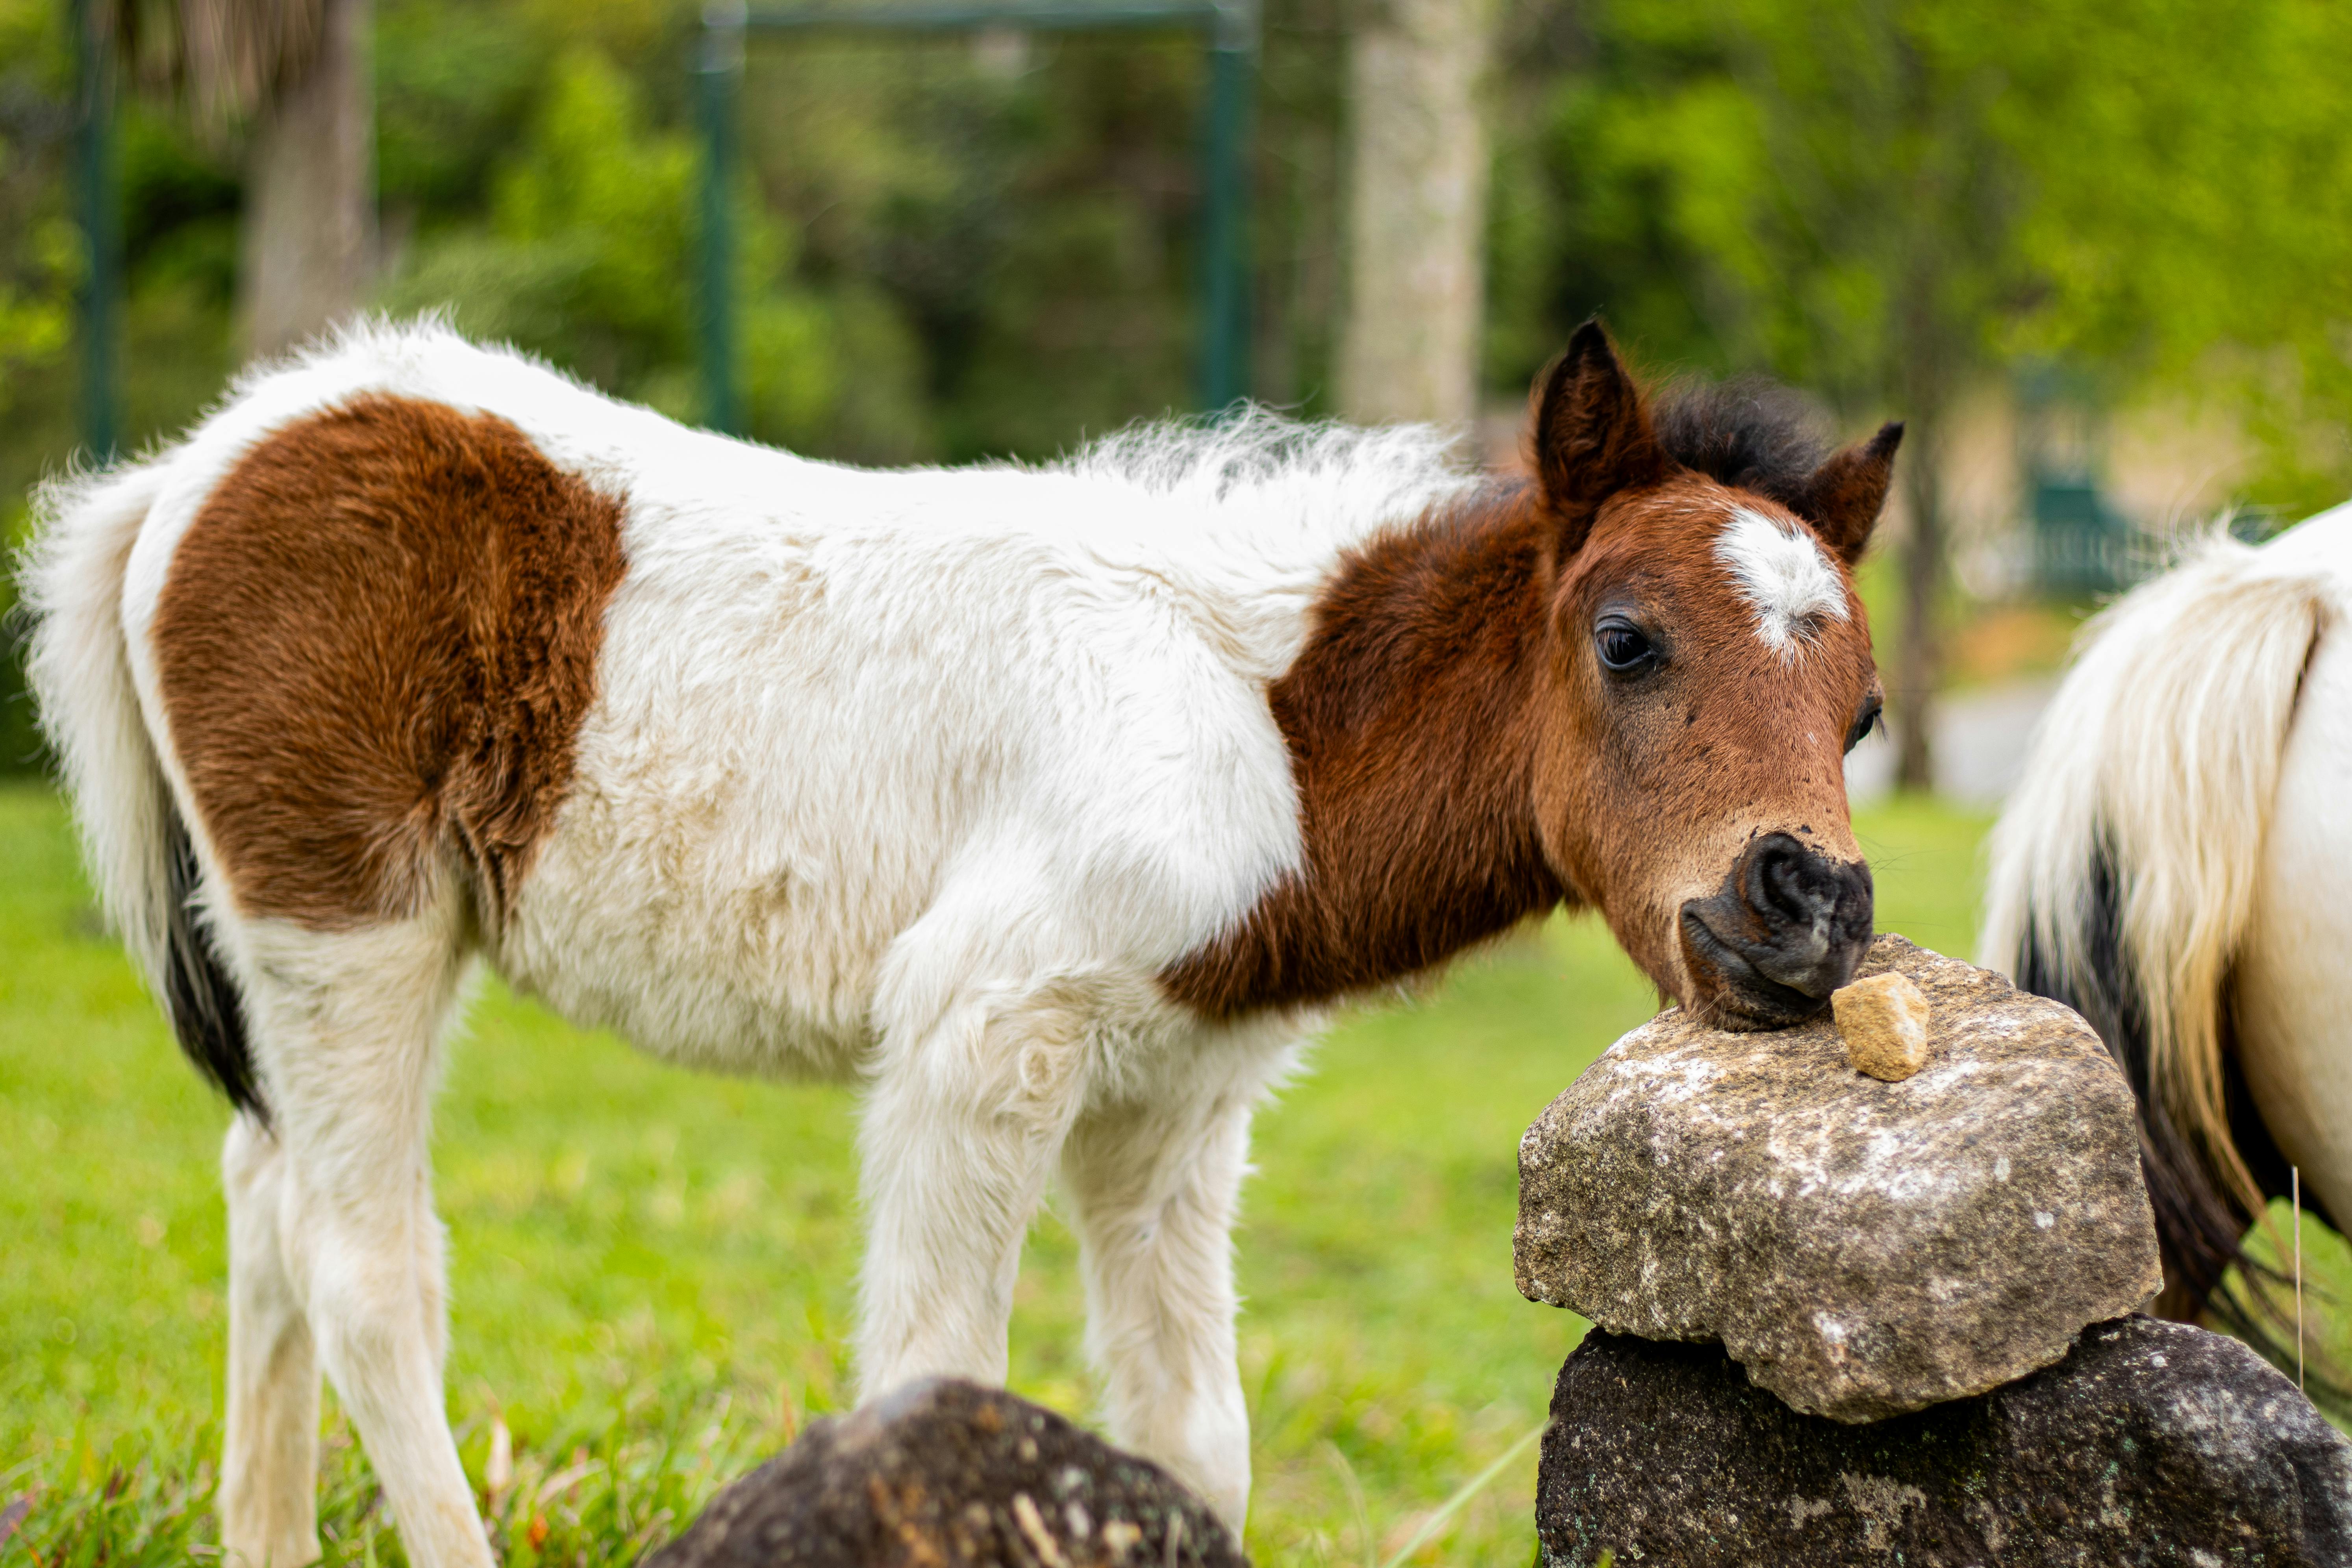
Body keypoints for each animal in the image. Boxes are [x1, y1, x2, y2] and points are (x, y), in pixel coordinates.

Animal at [24, 316, 1899, 1568]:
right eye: (1627, 639)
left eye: (1867, 709)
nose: (1802, 905)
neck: (1260, 718)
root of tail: (195, 468)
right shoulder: (982, 1030)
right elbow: (942, 1385)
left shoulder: (1169, 1102)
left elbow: (1192, 1438)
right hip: (349, 920)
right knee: (366, 1266)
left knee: (266, 1201)